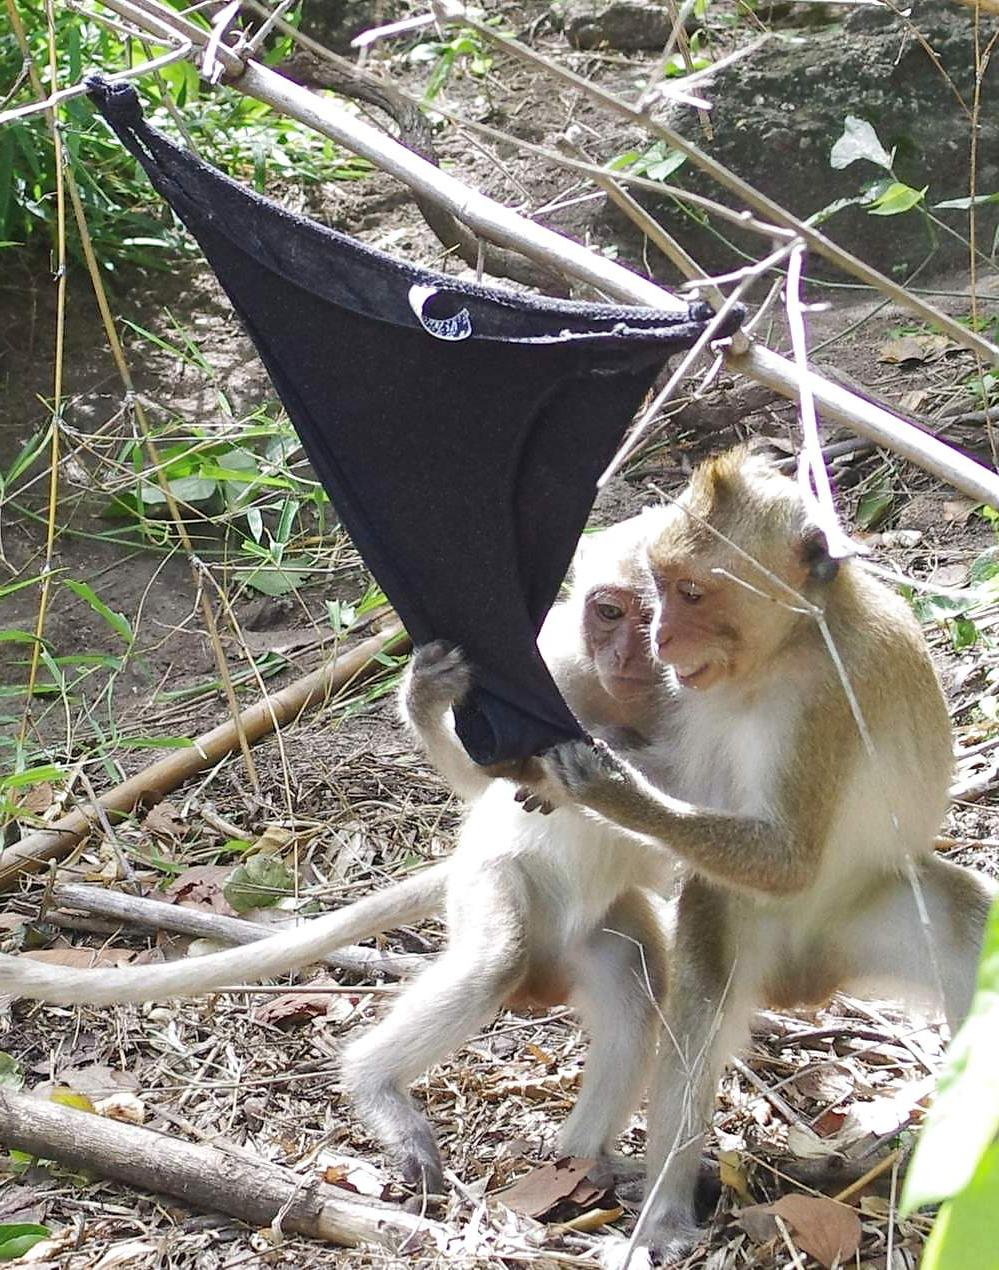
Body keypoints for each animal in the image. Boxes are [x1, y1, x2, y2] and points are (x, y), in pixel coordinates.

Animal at [515, 446, 996, 1262]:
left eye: (690, 592)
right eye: (658, 591)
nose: (661, 640)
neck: (785, 648)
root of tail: (811, 974)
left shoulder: (825, 699)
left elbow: (789, 860)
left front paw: (612, 790)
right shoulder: (690, 695)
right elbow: (694, 780)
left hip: (876, 905)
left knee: (967, 925)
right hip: (757, 927)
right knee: (703, 978)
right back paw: (665, 1208)